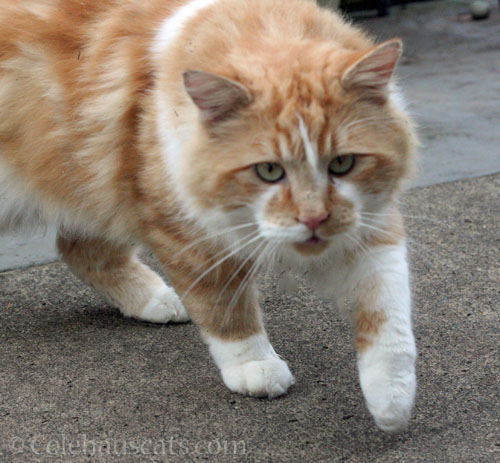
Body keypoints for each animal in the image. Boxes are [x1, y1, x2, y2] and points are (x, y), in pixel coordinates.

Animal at [0, 0, 418, 432]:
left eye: (342, 163)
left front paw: (392, 397)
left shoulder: (368, 227)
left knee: (81, 249)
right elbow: (226, 310)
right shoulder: (186, 234)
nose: (314, 218)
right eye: (269, 171)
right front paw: (255, 366)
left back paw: (151, 298)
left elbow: (388, 317)